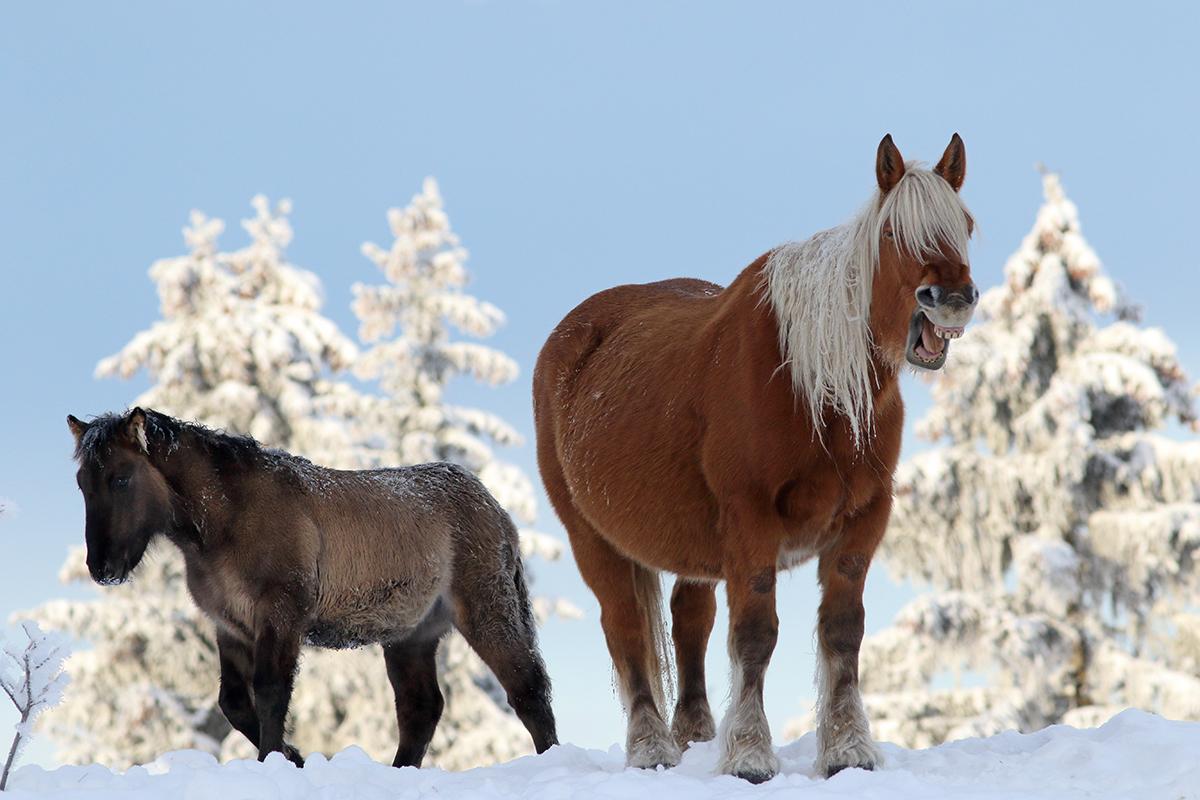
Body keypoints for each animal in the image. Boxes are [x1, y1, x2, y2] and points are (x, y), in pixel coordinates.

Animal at [71, 410, 561, 767]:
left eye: (120, 477)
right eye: (81, 483)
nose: (102, 568)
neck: (231, 517)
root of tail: (494, 508)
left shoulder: (280, 616)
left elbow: (271, 692)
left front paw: (277, 759)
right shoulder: (230, 626)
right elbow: (234, 702)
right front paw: (295, 756)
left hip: (486, 611)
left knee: (527, 688)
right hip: (412, 635)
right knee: (421, 709)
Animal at [535, 134, 974, 777]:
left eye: (966, 225)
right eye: (894, 232)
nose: (951, 299)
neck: (812, 386)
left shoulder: (864, 520)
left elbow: (843, 632)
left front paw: (848, 751)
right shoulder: (750, 522)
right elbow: (754, 635)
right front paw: (748, 754)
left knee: (689, 621)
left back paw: (695, 735)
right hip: (592, 538)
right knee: (626, 627)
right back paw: (651, 748)